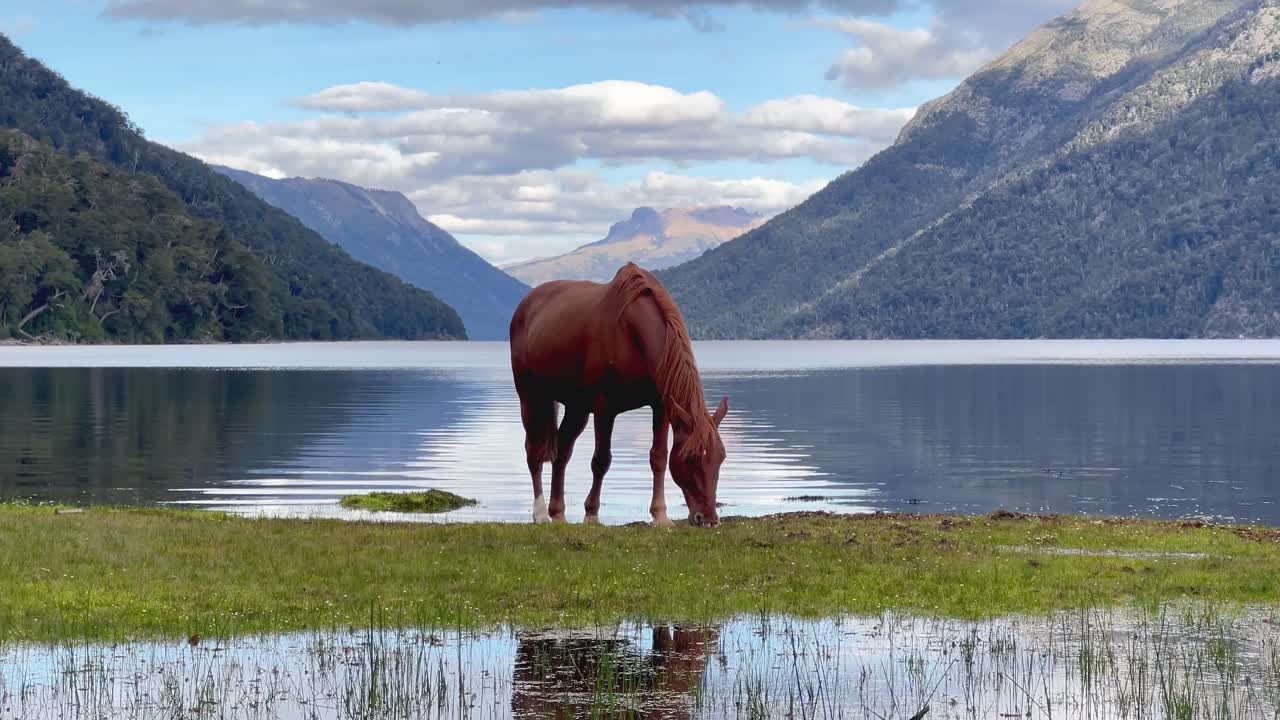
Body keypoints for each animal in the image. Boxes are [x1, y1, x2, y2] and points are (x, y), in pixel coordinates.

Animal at [508, 262, 729, 527]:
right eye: (692, 458)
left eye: (720, 458)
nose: (708, 519)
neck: (631, 332)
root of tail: (526, 304)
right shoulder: (605, 408)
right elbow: (601, 461)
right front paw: (591, 514)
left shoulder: (662, 406)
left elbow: (658, 457)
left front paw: (660, 515)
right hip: (531, 397)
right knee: (534, 452)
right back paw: (540, 513)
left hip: (577, 406)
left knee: (562, 451)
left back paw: (558, 512)